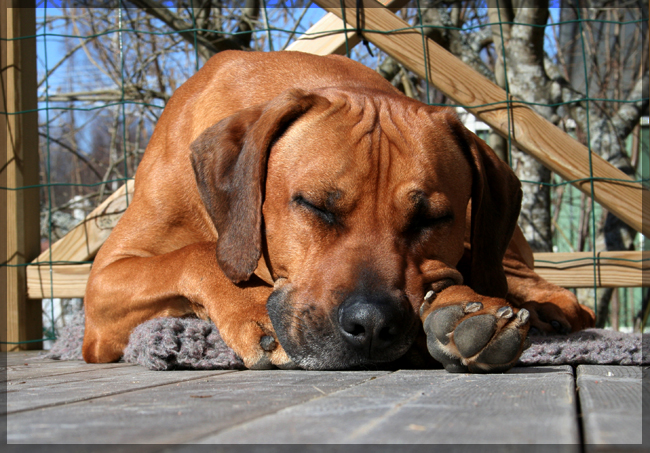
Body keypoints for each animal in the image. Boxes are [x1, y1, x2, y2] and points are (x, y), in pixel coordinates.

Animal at [82, 50, 592, 370]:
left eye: (431, 219)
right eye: (313, 205)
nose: (372, 325)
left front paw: (462, 309)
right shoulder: (103, 284)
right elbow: (197, 254)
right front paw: (253, 305)